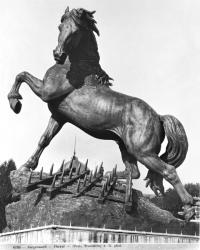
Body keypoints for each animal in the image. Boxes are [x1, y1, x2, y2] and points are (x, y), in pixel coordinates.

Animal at [7, 6, 197, 220]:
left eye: (75, 32)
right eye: (60, 27)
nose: (58, 54)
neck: (73, 68)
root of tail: (159, 117)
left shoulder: (45, 92)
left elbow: (21, 74)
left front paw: (14, 102)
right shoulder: (59, 116)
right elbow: (44, 140)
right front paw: (26, 166)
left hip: (143, 151)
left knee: (168, 171)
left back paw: (189, 210)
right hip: (126, 148)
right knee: (134, 172)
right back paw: (109, 176)